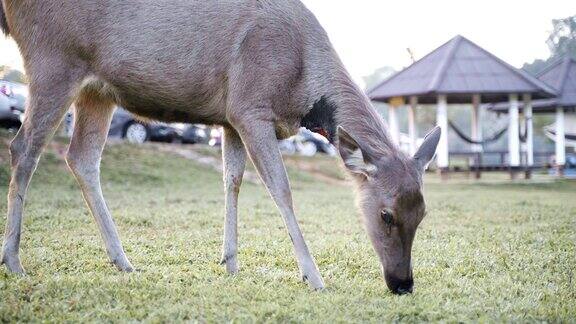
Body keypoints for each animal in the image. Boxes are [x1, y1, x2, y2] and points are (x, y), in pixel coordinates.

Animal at [1, 0, 440, 294]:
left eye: (422, 213)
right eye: (385, 214)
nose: (403, 283)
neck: (302, 90)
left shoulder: (230, 118)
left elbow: (232, 180)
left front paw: (229, 262)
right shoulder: (251, 107)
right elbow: (280, 190)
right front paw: (313, 276)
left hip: (97, 90)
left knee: (81, 158)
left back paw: (122, 260)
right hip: (53, 60)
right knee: (24, 147)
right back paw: (14, 261)